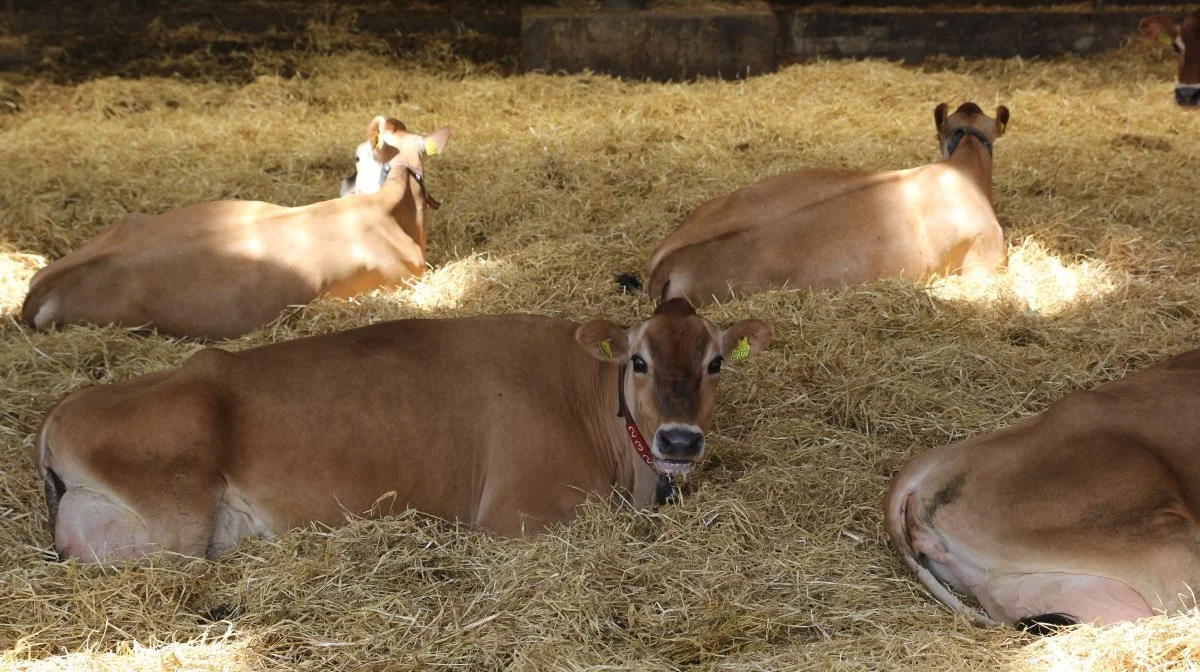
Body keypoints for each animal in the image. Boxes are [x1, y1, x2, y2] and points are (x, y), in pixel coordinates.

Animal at [37, 298, 772, 561]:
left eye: (715, 362)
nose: (680, 440)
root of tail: (58, 411)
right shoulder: (517, 515)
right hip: (176, 523)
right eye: (639, 360)